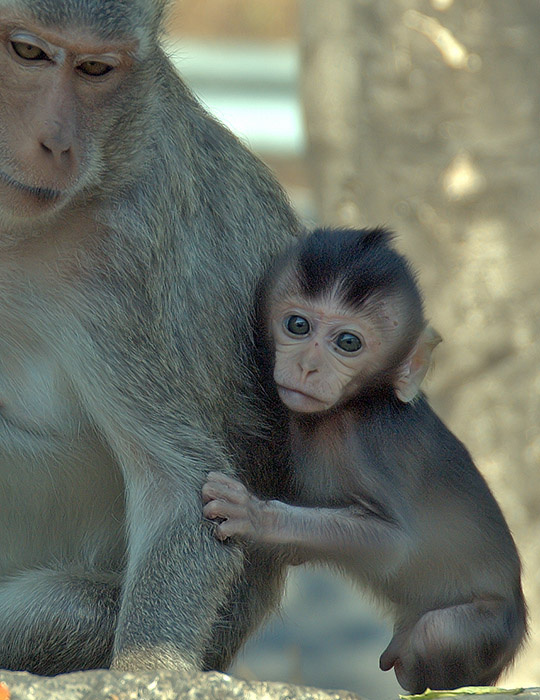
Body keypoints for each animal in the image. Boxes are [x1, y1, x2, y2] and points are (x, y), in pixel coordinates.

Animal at [0, 0, 303, 676]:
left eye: (95, 69)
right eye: (27, 52)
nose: (56, 143)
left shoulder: (127, 259)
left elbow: (185, 496)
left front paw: (144, 671)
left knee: (63, 610)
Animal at [202, 227, 527, 693]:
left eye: (348, 343)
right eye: (297, 325)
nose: (308, 366)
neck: (350, 406)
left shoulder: (364, 446)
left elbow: (394, 544)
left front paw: (255, 517)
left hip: (490, 629)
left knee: (438, 632)